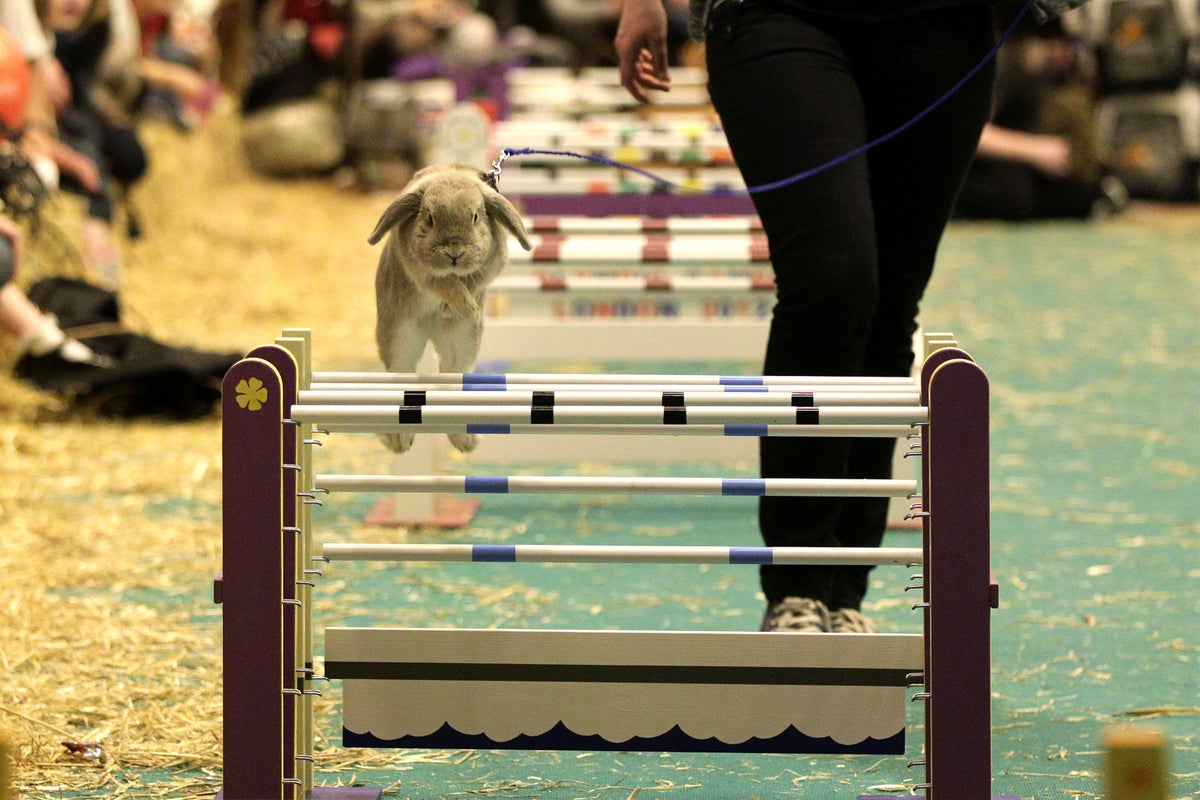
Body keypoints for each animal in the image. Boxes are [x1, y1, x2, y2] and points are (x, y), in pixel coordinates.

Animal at [369, 163, 532, 454]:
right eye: (430, 217)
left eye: (476, 217)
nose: (454, 251)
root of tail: (430, 329)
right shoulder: (420, 270)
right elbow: (443, 281)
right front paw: (462, 304)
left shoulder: (492, 266)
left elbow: (472, 280)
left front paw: (464, 308)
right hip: (400, 337)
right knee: (403, 374)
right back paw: (399, 440)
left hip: (463, 344)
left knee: (450, 377)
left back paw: (464, 440)